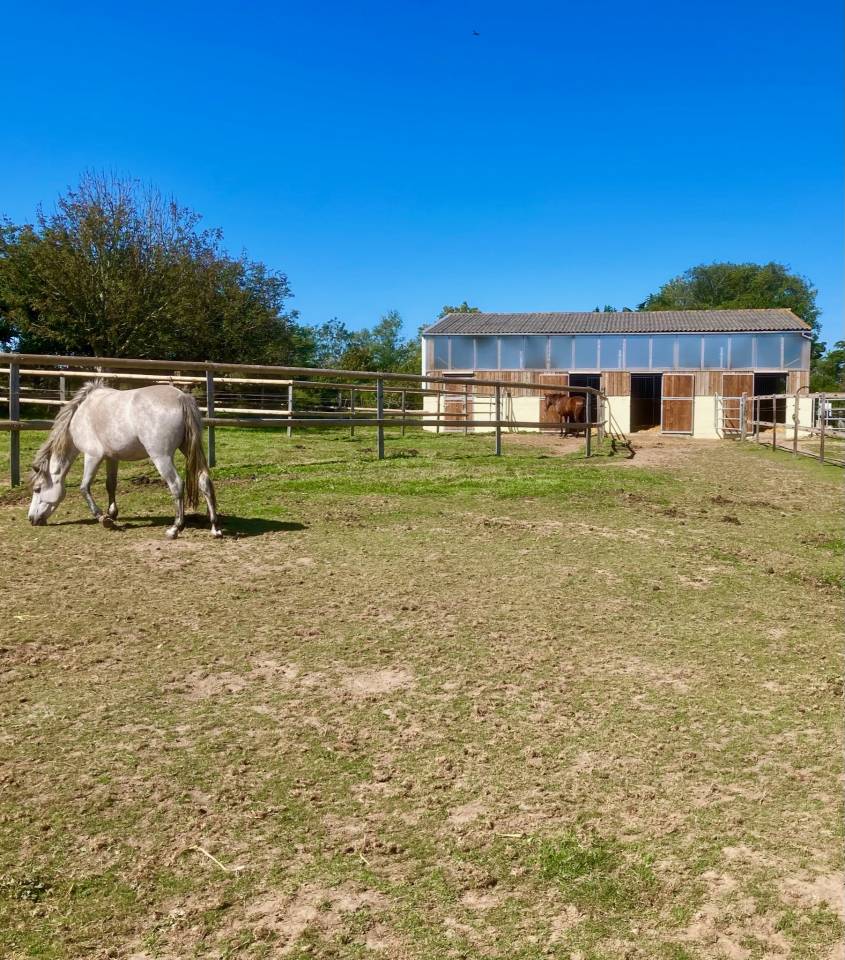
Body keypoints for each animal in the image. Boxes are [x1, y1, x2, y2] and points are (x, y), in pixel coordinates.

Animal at [27, 381, 222, 539]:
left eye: (37, 489)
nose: (31, 519)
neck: (80, 415)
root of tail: (182, 398)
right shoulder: (111, 458)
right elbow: (110, 485)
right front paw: (112, 513)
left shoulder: (92, 456)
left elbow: (84, 487)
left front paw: (103, 518)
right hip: (190, 450)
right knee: (204, 480)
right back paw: (214, 528)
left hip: (161, 457)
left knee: (177, 485)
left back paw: (175, 529)